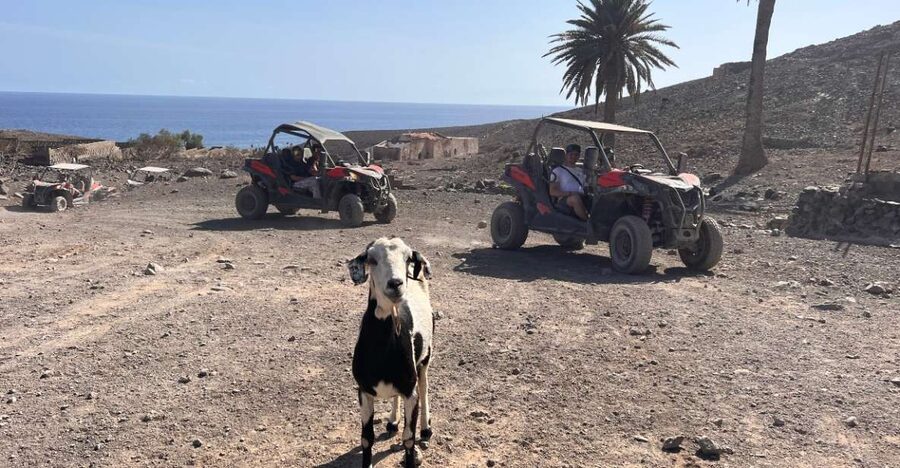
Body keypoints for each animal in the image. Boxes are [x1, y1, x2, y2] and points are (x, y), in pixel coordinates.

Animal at [348, 237, 434, 468]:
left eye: (407, 258)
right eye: (371, 259)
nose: (395, 284)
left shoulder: (410, 392)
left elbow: (409, 438)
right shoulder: (364, 391)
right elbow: (366, 438)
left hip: (426, 356)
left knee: (424, 386)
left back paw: (426, 428)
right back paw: (393, 422)